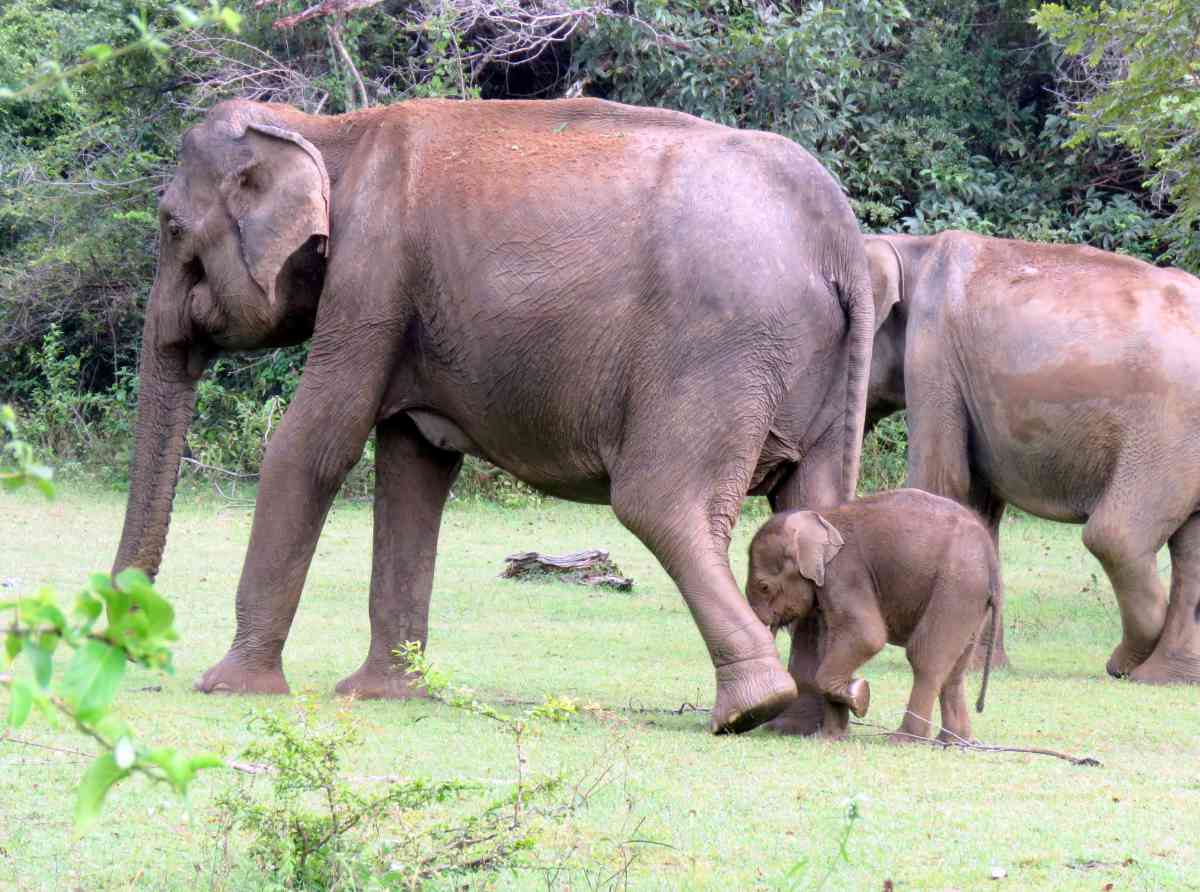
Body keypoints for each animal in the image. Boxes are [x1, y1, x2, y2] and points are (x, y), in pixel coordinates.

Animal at [110, 97, 883, 734]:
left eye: (171, 227)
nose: (127, 643)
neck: (329, 129)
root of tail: (838, 241)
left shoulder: (370, 278)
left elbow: (313, 447)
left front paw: (227, 686)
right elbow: (413, 470)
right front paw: (382, 693)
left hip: (715, 350)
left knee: (660, 505)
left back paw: (751, 709)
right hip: (809, 372)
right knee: (810, 508)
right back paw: (807, 721)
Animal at [744, 492, 998, 744]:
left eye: (764, 587)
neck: (821, 518)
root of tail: (990, 557)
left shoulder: (845, 571)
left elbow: (866, 636)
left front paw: (859, 696)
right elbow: (830, 645)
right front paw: (830, 737)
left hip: (957, 585)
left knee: (925, 656)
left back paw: (903, 739)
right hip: (972, 597)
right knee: (956, 667)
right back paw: (953, 741)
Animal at [864, 230, 1200, 681]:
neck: (913, 245)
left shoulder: (933, 355)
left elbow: (943, 484)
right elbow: (979, 507)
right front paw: (976, 668)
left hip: (1168, 426)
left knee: (1116, 535)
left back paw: (1127, 666)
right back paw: (1167, 676)